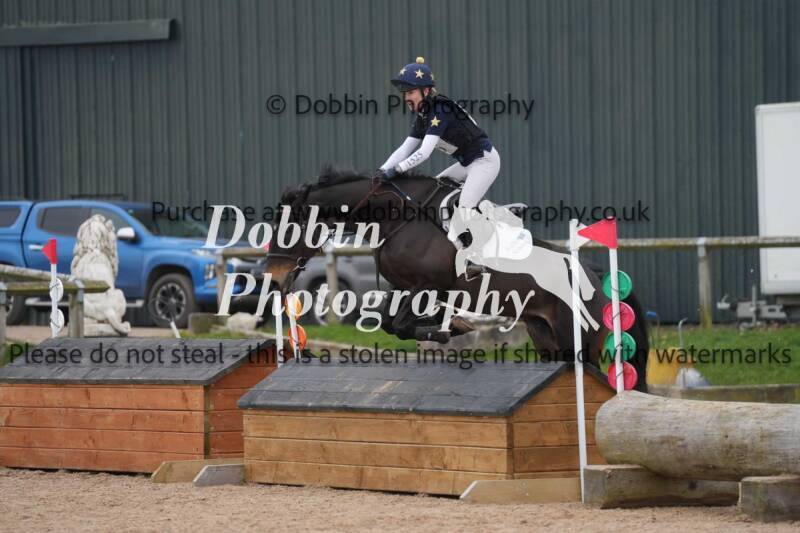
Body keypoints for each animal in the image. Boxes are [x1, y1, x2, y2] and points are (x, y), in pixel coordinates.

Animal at [265, 168, 649, 390]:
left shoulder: (428, 285)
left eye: (289, 229)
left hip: (579, 341)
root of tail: (596, 276)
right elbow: (392, 323)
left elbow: (402, 325)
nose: (273, 279)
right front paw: (450, 324)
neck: (395, 217)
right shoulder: (403, 288)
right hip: (546, 338)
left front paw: (451, 328)